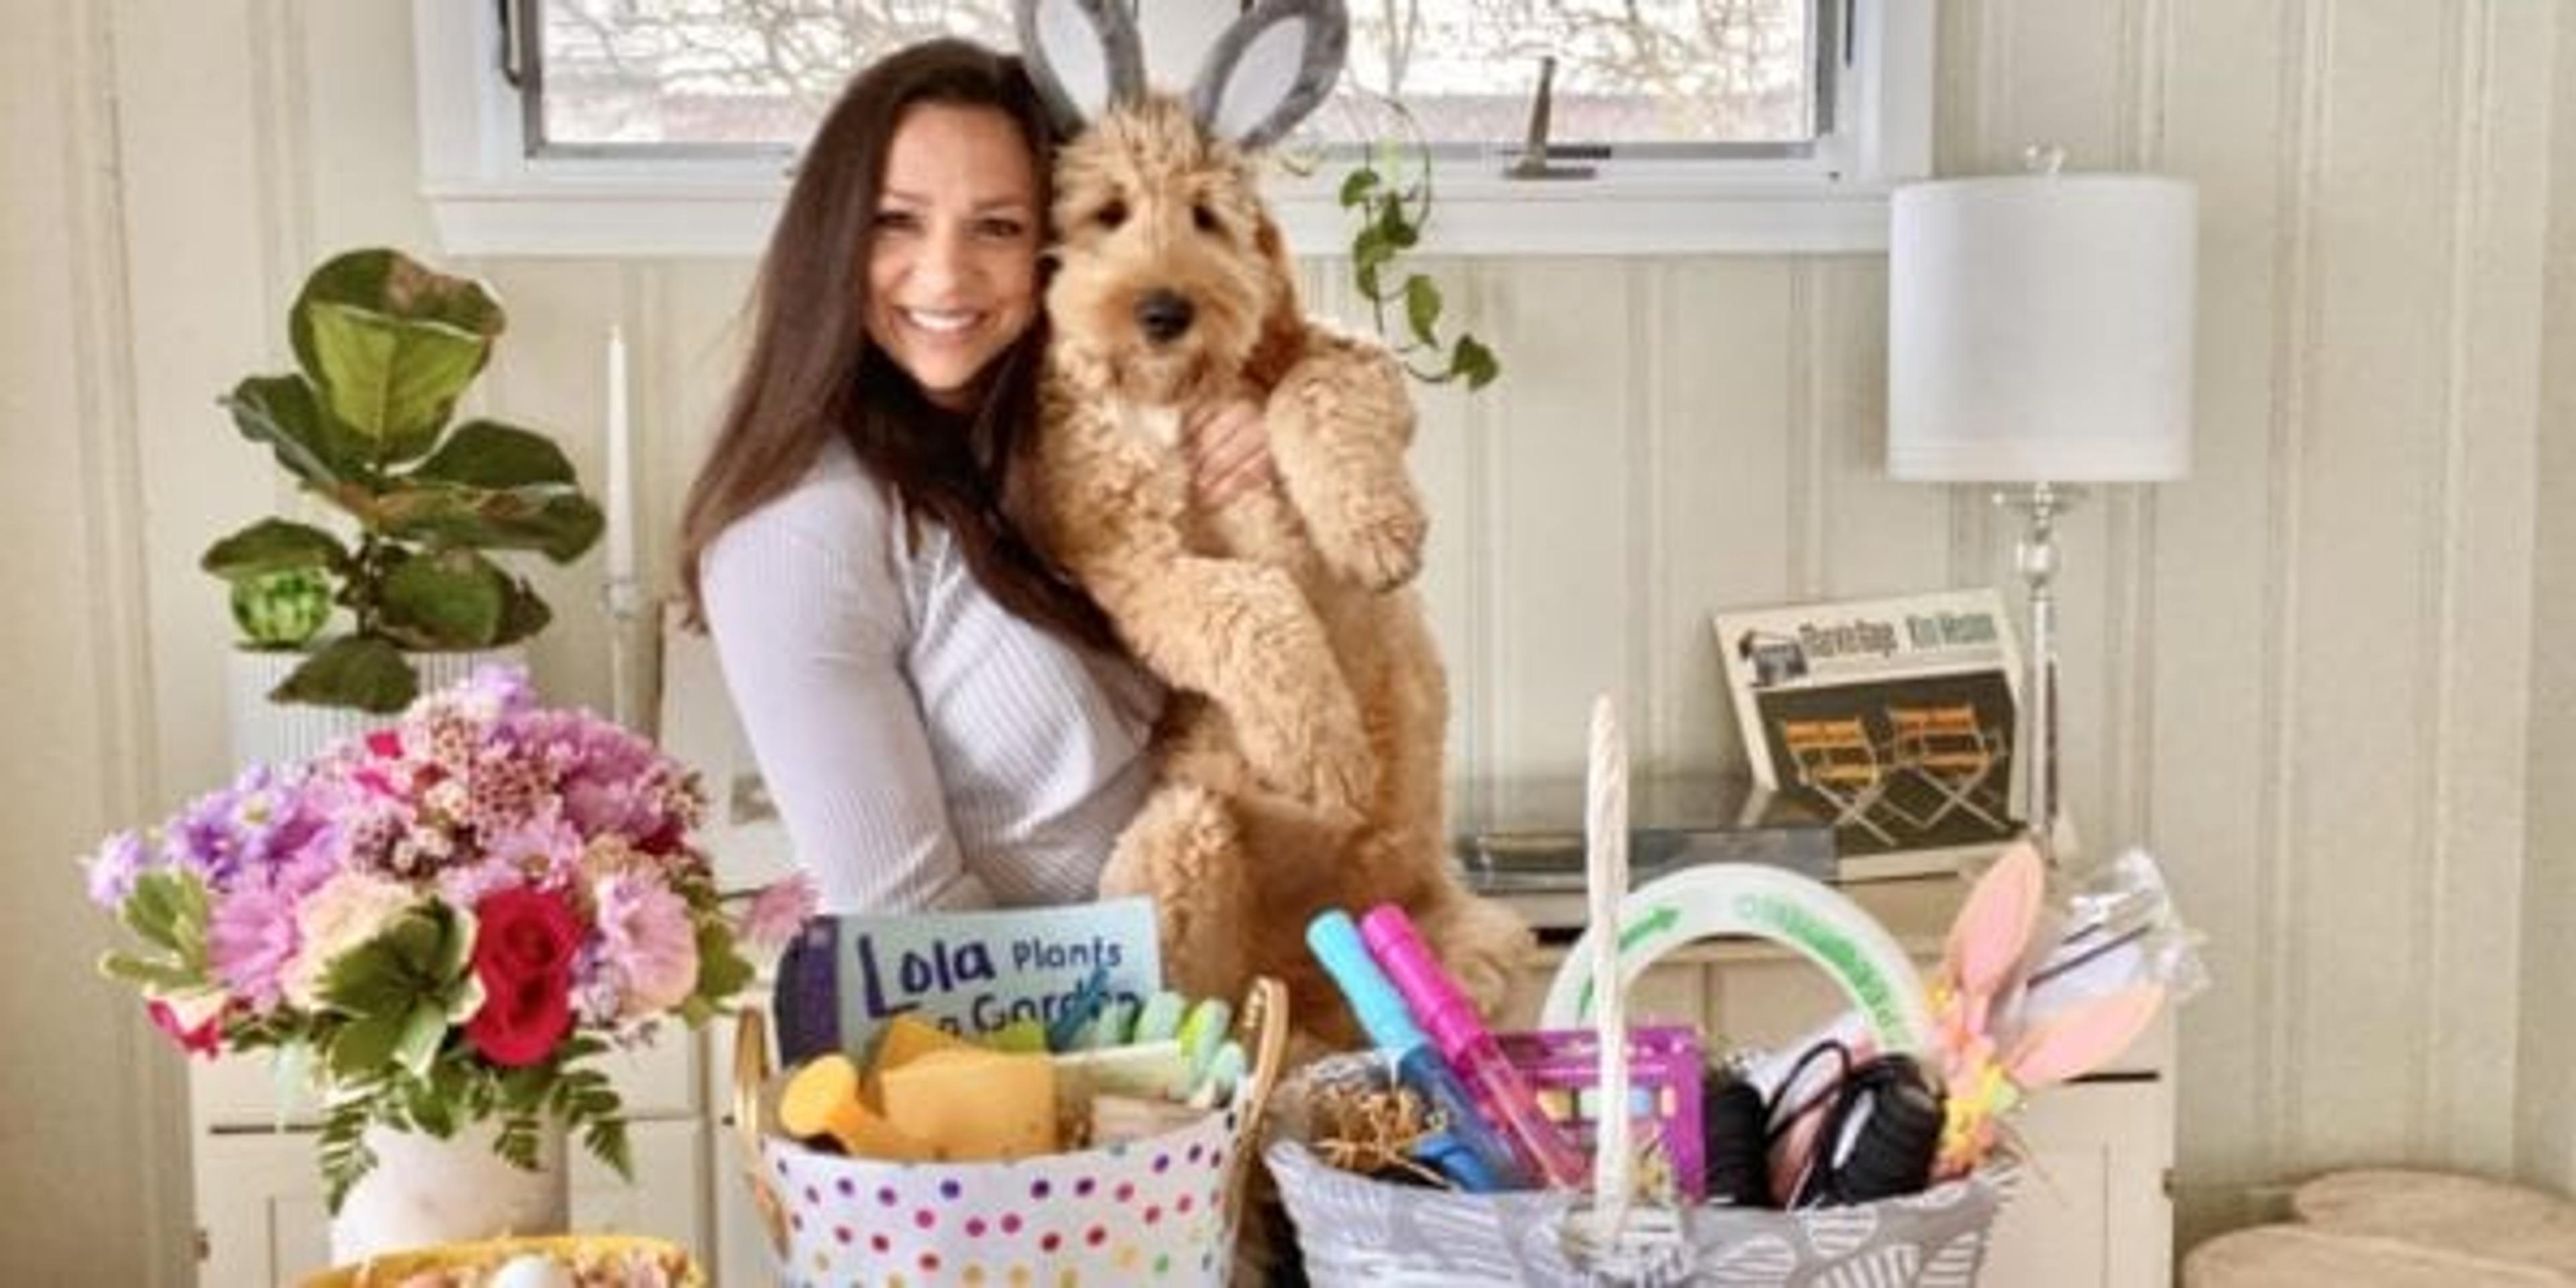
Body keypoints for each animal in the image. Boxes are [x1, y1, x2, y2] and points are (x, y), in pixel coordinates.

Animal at [1010, 0, 1525, 1030]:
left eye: (1208, 217)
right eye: (1108, 214)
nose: (1164, 310)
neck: (1174, 399)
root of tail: (1315, 982)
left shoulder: (1350, 360)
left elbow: (1318, 390)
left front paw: (1376, 532)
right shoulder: (1127, 563)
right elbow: (1247, 598)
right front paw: (1325, 751)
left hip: (1471, 936)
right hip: (1182, 836)